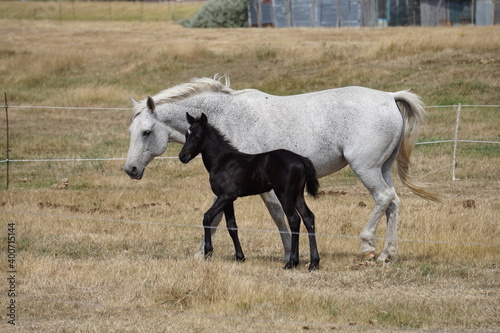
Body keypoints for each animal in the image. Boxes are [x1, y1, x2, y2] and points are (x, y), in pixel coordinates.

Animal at [180, 112, 320, 270]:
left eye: (197, 136)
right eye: (186, 135)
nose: (182, 156)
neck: (222, 161)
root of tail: (300, 158)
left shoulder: (226, 196)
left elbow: (207, 217)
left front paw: (208, 253)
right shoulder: (228, 199)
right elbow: (231, 226)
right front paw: (240, 257)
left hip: (285, 194)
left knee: (294, 220)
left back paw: (291, 263)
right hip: (298, 195)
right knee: (308, 218)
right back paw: (313, 263)